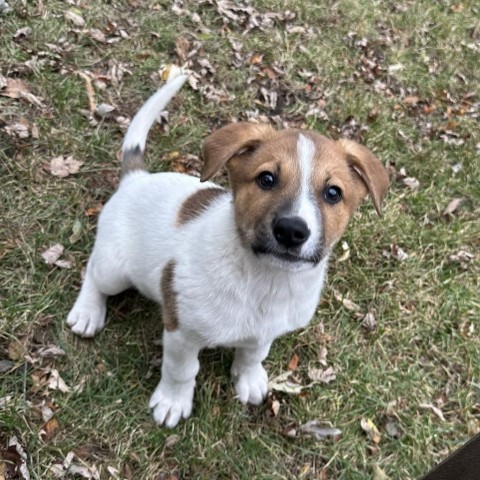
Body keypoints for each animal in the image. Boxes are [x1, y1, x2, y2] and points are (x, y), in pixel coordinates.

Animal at [67, 74, 390, 428]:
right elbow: (182, 371)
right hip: (114, 269)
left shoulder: (265, 333)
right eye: (266, 178)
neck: (265, 281)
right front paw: (172, 402)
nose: (291, 230)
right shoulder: (181, 331)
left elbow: (253, 355)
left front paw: (248, 380)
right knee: (92, 274)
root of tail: (136, 179)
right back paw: (87, 312)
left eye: (333, 193)